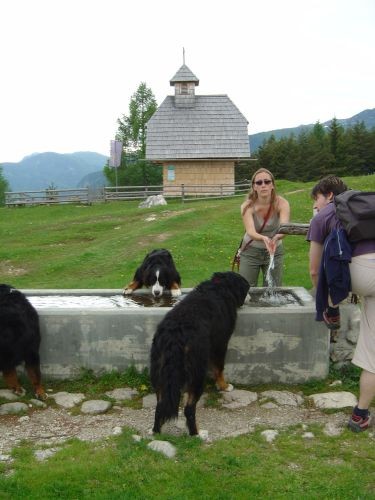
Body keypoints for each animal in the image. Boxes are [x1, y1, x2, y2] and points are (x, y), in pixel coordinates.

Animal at [150, 272, 250, 436]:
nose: (249, 296)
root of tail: (175, 333)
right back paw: (197, 433)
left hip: (158, 368)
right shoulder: (220, 344)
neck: (220, 287)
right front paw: (224, 386)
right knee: (189, 409)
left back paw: (156, 432)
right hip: (196, 372)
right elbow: (219, 369)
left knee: (159, 406)